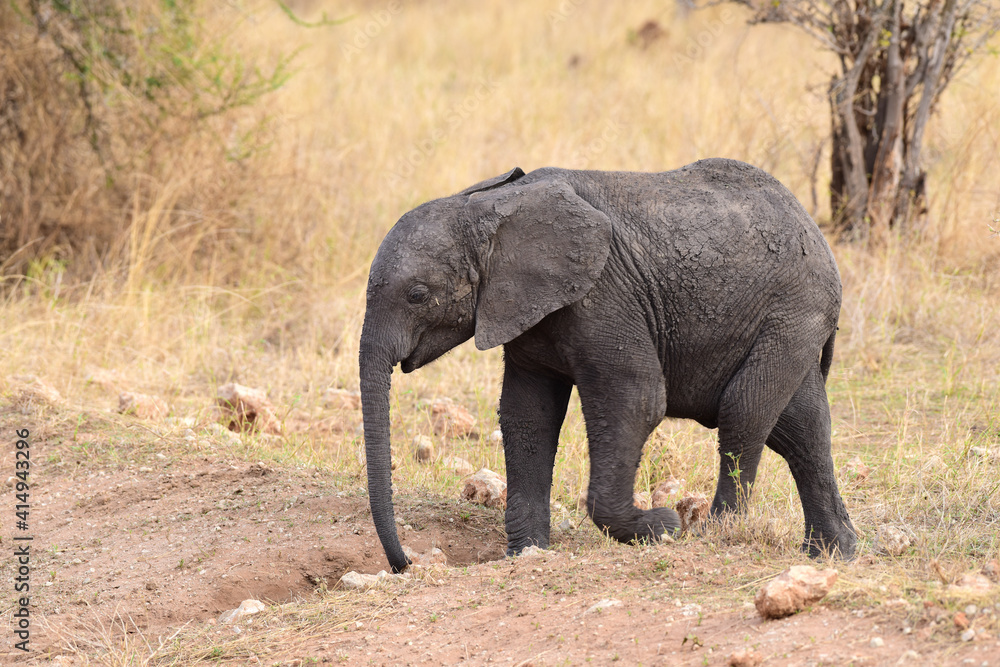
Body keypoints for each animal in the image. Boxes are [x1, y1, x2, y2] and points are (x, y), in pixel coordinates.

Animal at [360, 158, 857, 573]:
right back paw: (833, 553)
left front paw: (662, 527)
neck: (492, 206)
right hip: (790, 322)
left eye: (417, 295)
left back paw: (718, 533)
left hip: (794, 311)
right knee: (801, 430)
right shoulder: (524, 313)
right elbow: (527, 417)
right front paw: (527, 554)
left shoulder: (604, 295)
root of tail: (813, 228)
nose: (404, 564)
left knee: (745, 411)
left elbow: (635, 400)